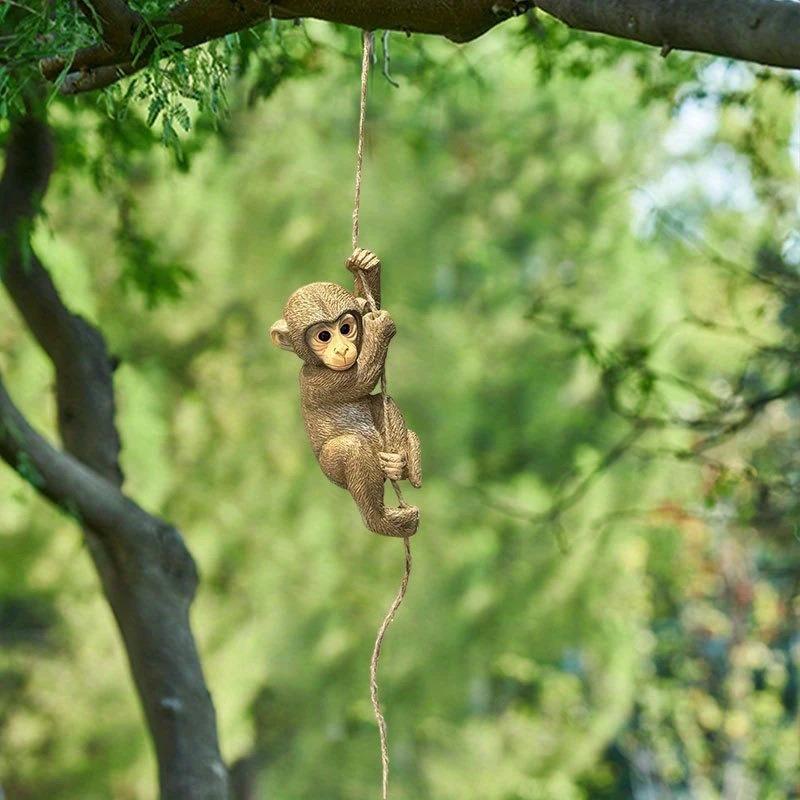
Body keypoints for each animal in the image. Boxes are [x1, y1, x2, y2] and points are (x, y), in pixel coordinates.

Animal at [270, 249, 421, 538]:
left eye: (345, 328)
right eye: (324, 336)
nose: (341, 349)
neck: (317, 364)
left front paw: (366, 266)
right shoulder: (317, 382)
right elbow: (361, 378)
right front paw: (379, 328)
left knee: (381, 402)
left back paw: (401, 464)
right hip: (332, 469)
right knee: (353, 451)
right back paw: (382, 521)